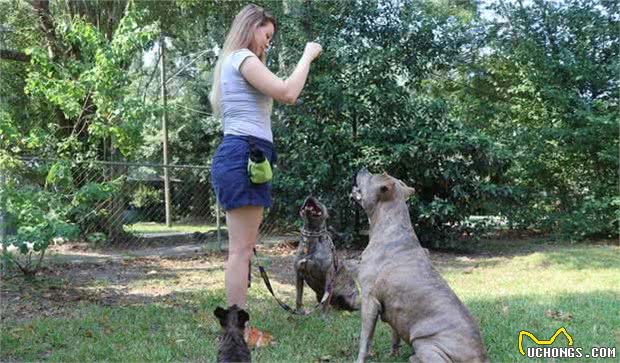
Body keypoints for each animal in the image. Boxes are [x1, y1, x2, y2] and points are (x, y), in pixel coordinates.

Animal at [348, 171, 490, 363]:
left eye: (372, 175)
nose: (361, 169)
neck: (388, 226)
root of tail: (481, 358)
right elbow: (394, 334)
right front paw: (393, 354)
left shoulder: (369, 299)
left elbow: (365, 338)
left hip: (428, 344)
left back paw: (413, 357)